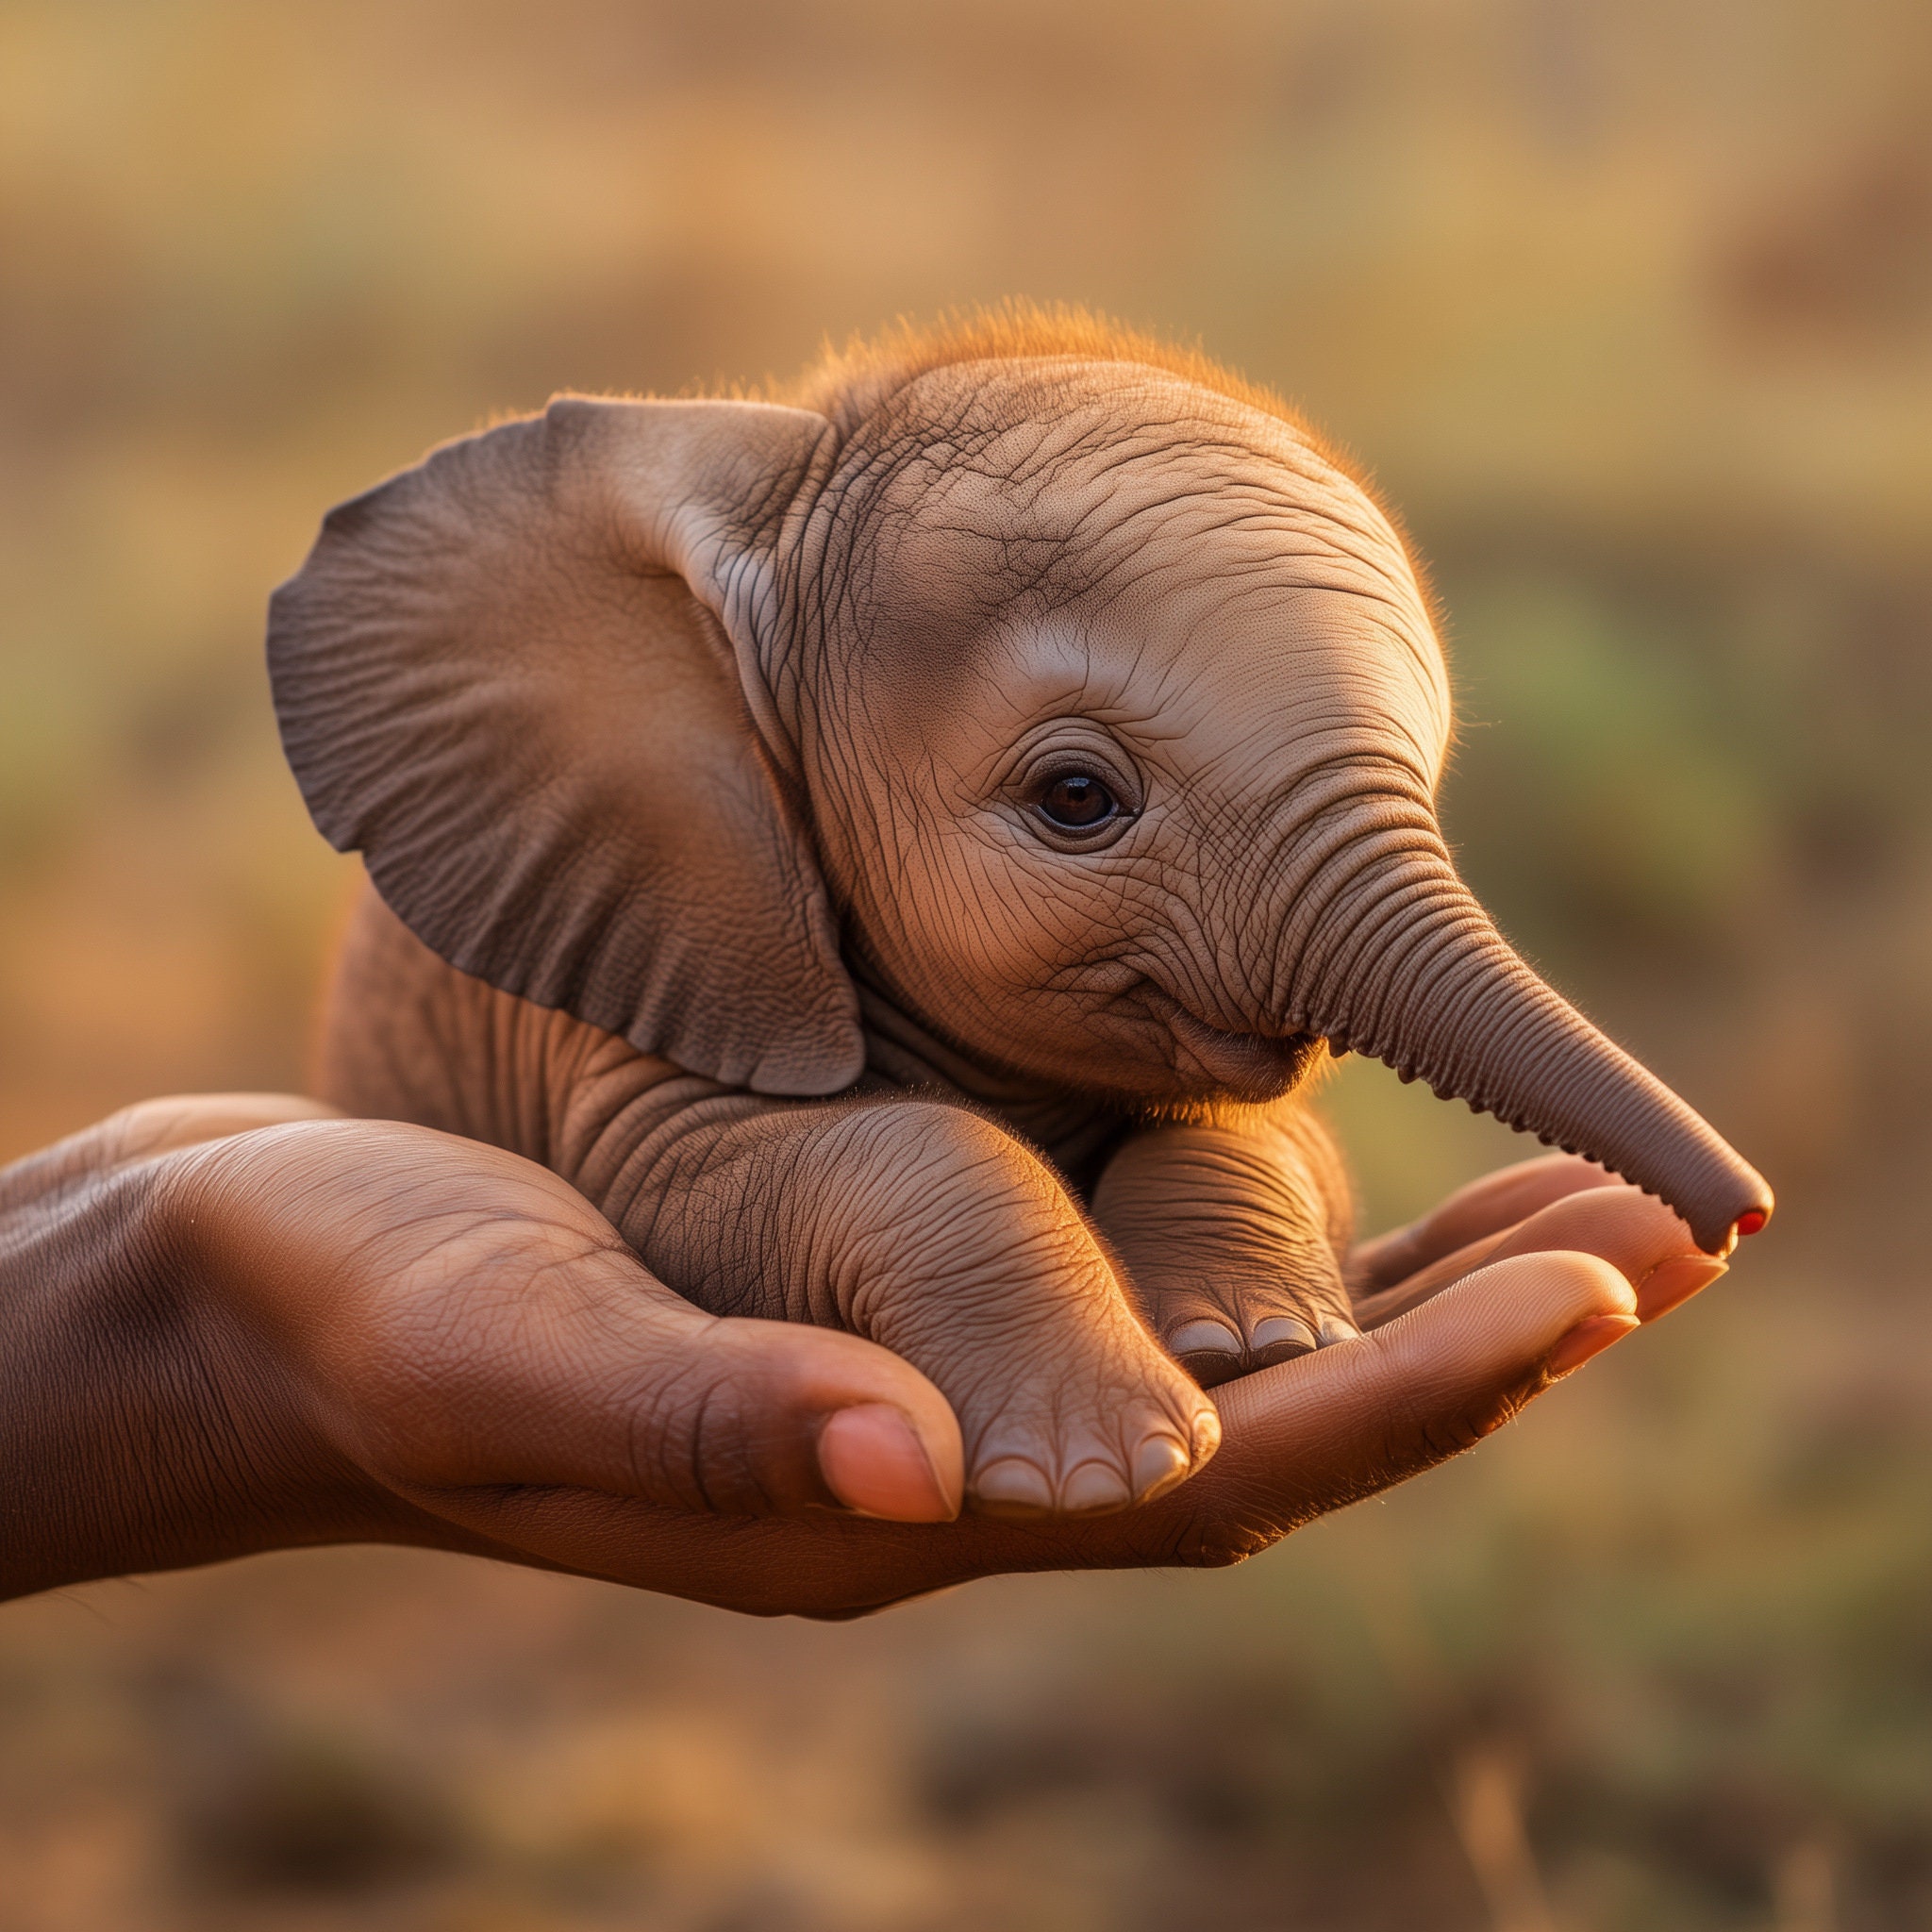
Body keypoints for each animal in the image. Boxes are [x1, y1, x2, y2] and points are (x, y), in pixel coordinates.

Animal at [268, 307, 1772, 1524]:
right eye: (1075, 799)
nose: (1742, 1218)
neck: (784, 473)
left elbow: (1275, 1132)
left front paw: (1259, 1349)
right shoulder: (667, 940)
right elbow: (764, 1163)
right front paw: (1110, 1470)